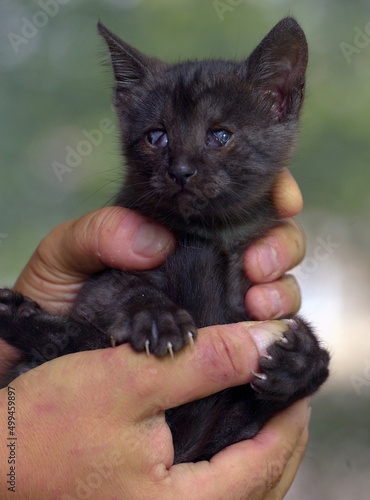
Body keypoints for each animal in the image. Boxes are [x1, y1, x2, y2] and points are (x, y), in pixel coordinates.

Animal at [0, 18, 330, 464]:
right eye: (156, 137)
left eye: (219, 135)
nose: (181, 171)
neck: (210, 236)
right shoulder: (98, 287)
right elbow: (123, 291)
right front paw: (158, 317)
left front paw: (302, 359)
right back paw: (17, 313)